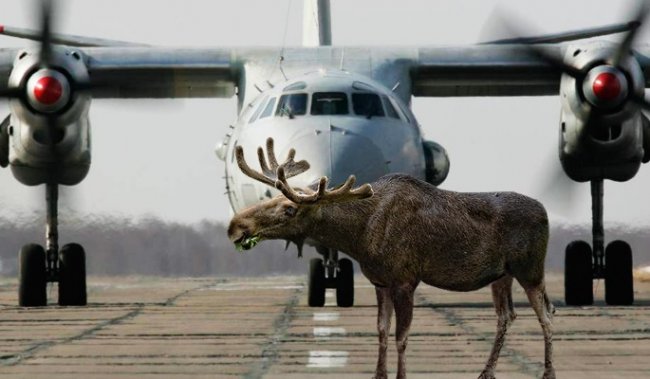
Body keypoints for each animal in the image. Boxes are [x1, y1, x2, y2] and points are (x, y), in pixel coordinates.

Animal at [228, 139, 552, 379]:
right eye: (270, 198)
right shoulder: (380, 282)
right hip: (502, 275)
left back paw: (548, 372)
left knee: (547, 314)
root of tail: (546, 212)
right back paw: (486, 372)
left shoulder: (405, 279)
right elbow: (382, 331)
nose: (235, 226)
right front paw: (379, 374)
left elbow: (401, 336)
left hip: (531, 270)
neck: (358, 236)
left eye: (289, 209)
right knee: (506, 317)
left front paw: (400, 375)